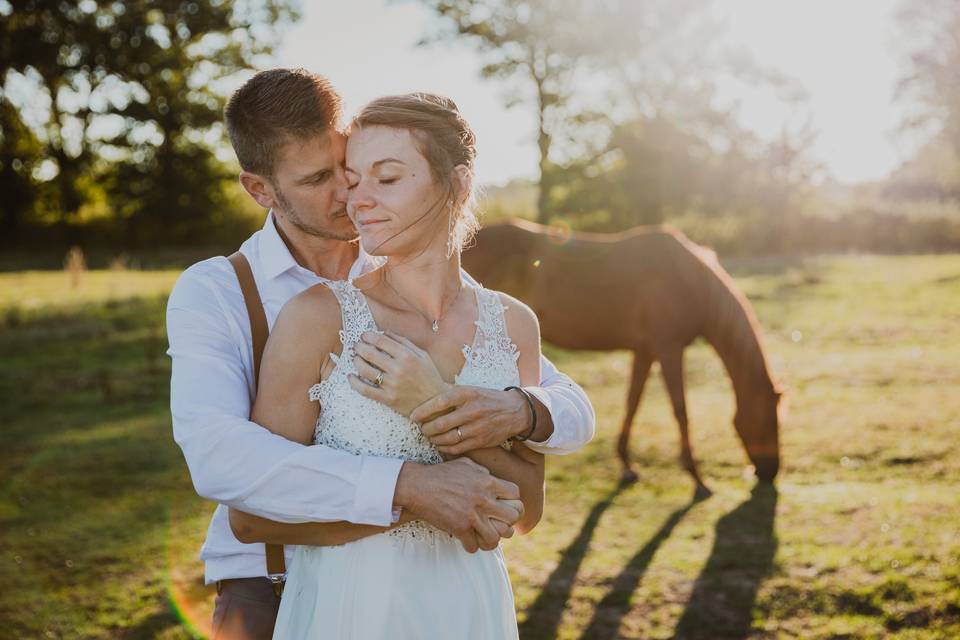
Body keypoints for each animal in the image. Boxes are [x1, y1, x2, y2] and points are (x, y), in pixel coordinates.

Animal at [462, 218, 784, 492]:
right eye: (770, 421)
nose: (769, 473)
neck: (688, 279)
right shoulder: (669, 349)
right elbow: (680, 410)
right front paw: (696, 477)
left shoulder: (645, 351)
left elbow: (632, 402)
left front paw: (627, 466)